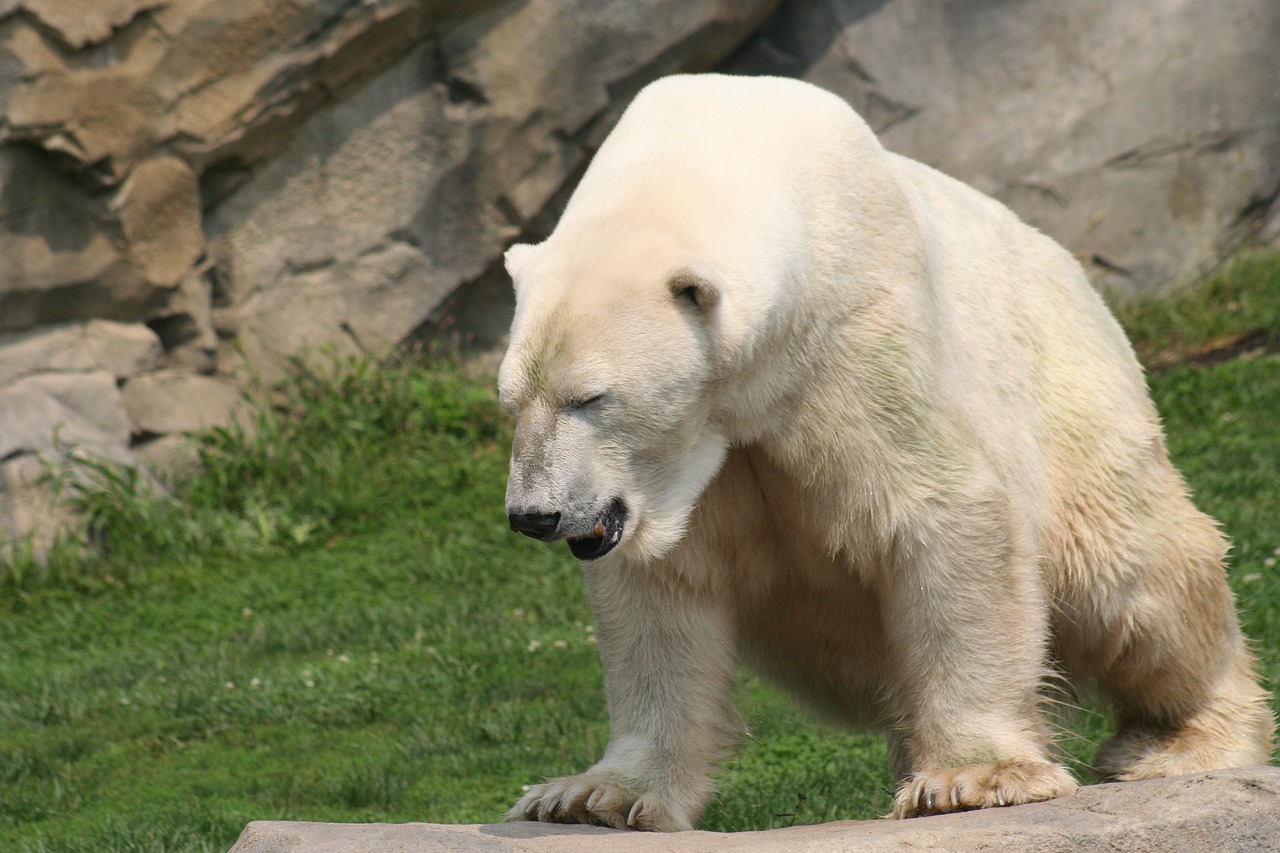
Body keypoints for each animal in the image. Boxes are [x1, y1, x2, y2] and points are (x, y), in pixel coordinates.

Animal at [494, 74, 1274, 829]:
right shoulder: (688, 474)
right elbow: (663, 591)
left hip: (1070, 392)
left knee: (1133, 576)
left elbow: (940, 512)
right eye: (511, 401)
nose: (534, 515)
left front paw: (972, 776)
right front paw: (594, 795)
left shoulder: (855, 334)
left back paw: (1184, 741)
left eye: (590, 398)